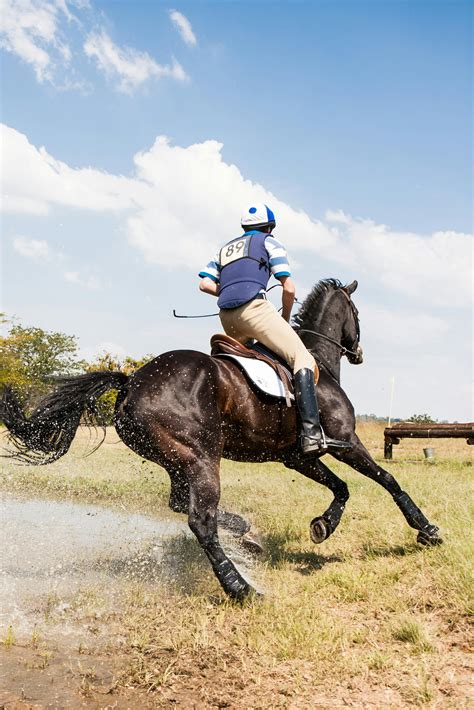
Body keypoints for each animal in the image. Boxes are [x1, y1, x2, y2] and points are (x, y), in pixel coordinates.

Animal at [1, 280, 442, 600]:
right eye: (356, 314)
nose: (359, 351)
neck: (316, 361)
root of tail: (132, 383)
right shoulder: (346, 441)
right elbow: (387, 480)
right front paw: (426, 529)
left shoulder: (297, 456)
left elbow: (342, 487)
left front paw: (323, 525)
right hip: (201, 458)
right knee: (200, 520)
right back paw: (241, 587)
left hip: (178, 459)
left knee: (181, 503)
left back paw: (246, 536)